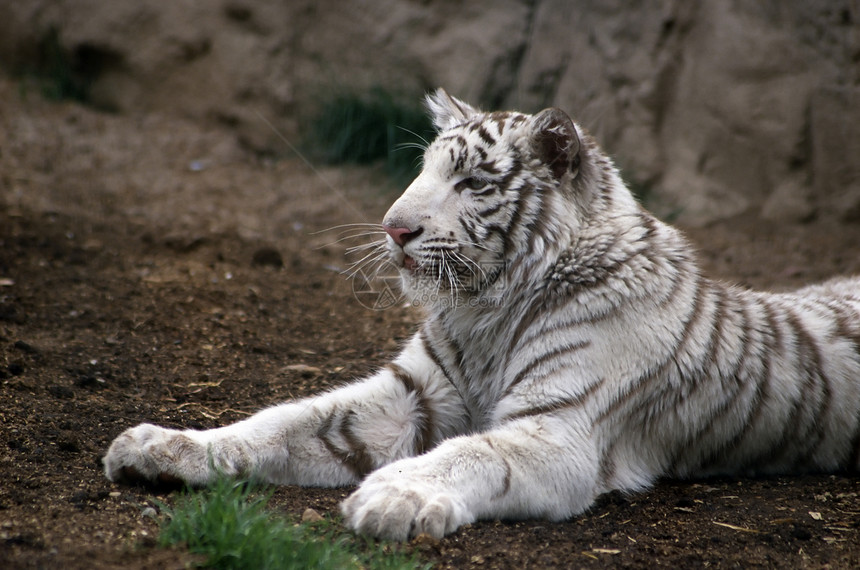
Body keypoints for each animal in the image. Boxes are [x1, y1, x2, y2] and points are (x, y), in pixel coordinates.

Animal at [102, 89, 860, 536]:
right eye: (424, 170)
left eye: (469, 183)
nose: (393, 228)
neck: (490, 308)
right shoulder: (410, 394)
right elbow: (281, 422)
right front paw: (159, 446)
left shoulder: (557, 430)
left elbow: (470, 453)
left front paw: (392, 499)